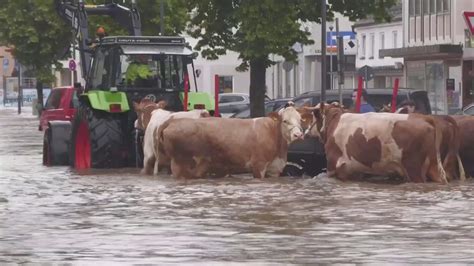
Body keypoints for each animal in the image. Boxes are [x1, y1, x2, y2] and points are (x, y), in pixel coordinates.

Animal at [157, 104, 310, 179]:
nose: (298, 134)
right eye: (285, 121)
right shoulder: (258, 166)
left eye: (300, 120)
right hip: (180, 164)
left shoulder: (275, 169)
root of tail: (172, 121)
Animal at [308, 103, 448, 184]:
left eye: (314, 114)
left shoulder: (334, 167)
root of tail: (424, 117)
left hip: (414, 169)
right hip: (434, 168)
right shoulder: (354, 171)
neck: (334, 121)